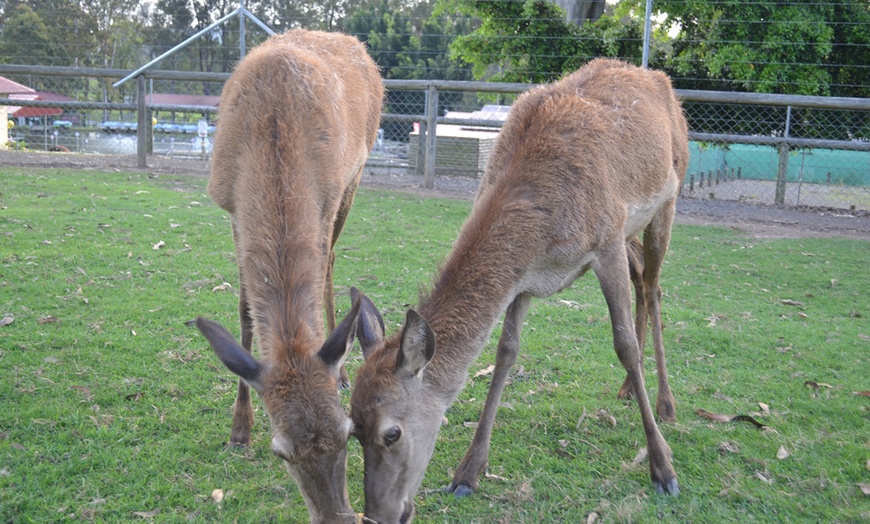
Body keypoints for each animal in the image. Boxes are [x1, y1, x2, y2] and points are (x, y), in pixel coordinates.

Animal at [194, 29, 384, 524]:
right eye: (281, 452)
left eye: (349, 431)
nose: (340, 517)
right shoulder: (230, 207)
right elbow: (245, 314)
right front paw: (239, 430)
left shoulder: (329, 195)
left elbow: (318, 273)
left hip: (354, 180)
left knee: (331, 260)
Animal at [348, 59, 688, 520]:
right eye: (352, 429)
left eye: (392, 433)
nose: (377, 515)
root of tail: (657, 78)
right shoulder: (524, 280)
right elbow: (506, 352)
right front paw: (467, 473)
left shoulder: (606, 243)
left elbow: (624, 346)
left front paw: (663, 468)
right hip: (632, 232)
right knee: (642, 279)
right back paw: (625, 390)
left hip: (665, 203)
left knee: (653, 287)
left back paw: (666, 404)